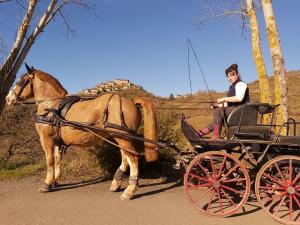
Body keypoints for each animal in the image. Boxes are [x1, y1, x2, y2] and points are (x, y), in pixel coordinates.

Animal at [5, 64, 158, 200]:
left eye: (19, 81)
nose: (7, 99)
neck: (51, 106)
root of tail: (132, 101)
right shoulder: (57, 141)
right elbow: (57, 160)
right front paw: (55, 181)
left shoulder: (46, 138)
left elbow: (49, 160)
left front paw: (47, 184)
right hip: (120, 137)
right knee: (125, 158)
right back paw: (116, 183)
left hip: (122, 137)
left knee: (133, 159)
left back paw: (130, 190)